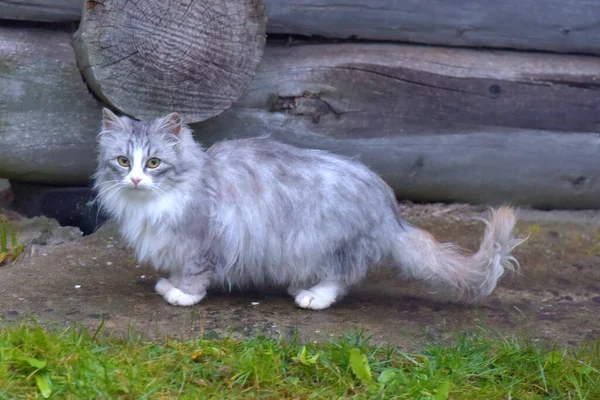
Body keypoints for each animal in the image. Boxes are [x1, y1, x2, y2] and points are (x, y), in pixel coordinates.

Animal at [94, 108, 524, 310]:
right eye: (123, 162)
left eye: (152, 163)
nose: (135, 180)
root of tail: (389, 208)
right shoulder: (178, 246)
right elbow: (178, 269)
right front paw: (170, 283)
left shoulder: (204, 240)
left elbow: (196, 276)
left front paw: (182, 295)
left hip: (327, 242)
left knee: (341, 280)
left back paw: (312, 296)